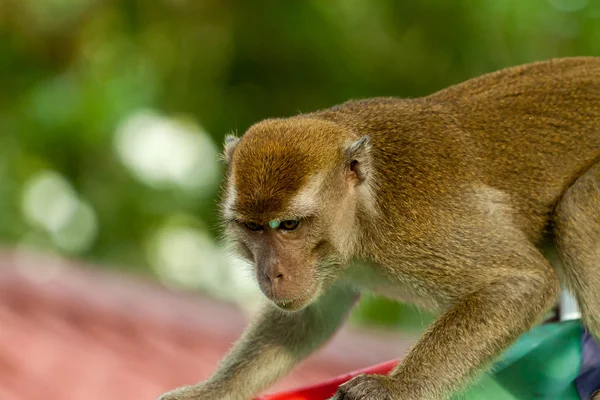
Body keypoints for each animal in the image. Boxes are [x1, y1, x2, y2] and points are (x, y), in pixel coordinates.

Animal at [159, 57, 600, 400]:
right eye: (252, 228)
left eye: (289, 225)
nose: (272, 273)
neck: (365, 212)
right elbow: (307, 319)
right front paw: (211, 392)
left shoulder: (417, 226)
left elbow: (521, 281)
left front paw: (398, 388)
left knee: (577, 209)